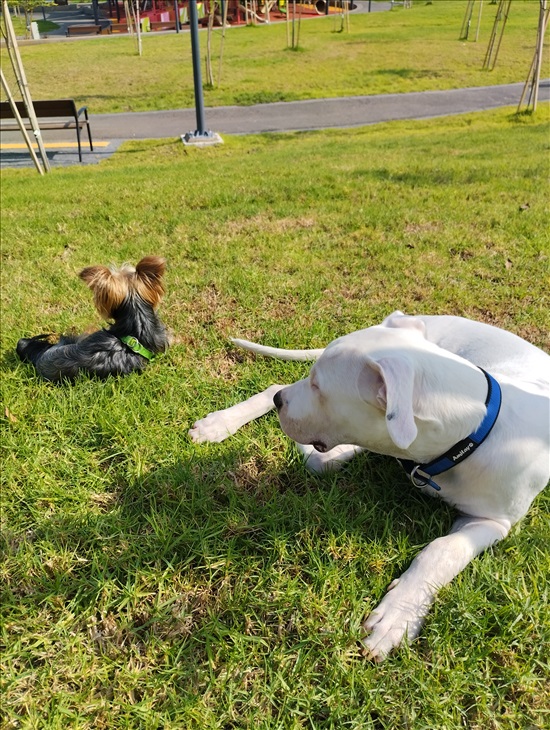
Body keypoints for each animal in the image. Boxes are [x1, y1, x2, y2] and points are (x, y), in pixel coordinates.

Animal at [191, 312, 550, 660]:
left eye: (319, 386)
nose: (282, 402)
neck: (472, 431)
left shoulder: (491, 521)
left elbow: (442, 550)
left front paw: (399, 614)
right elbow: (322, 458)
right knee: (275, 385)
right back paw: (219, 424)